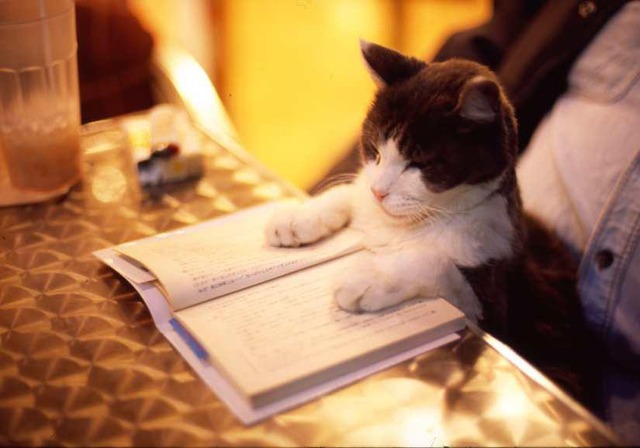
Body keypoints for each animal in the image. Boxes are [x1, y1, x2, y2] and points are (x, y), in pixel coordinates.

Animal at [265, 40, 597, 407]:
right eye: (374, 150)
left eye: (419, 164)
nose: (379, 191)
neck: (418, 219)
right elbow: (351, 192)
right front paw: (297, 218)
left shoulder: (494, 301)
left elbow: (435, 262)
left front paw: (368, 277)